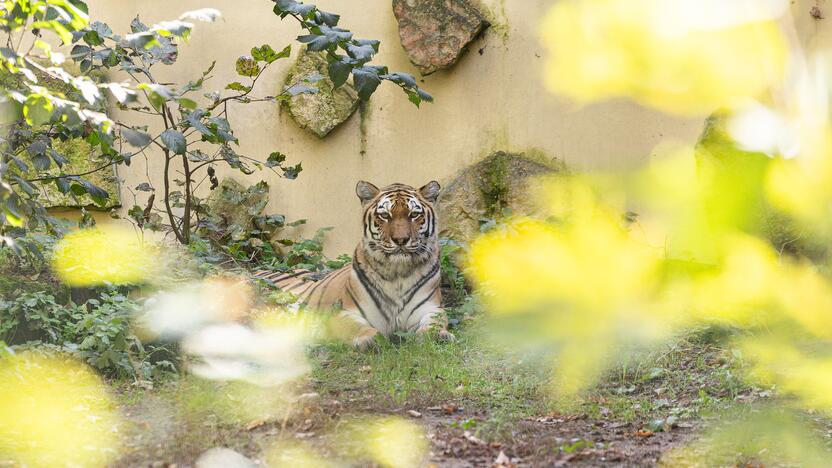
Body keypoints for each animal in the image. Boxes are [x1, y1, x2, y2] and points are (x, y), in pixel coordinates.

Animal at [254, 181, 452, 350]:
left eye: (414, 215)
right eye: (385, 216)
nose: (401, 240)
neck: (398, 273)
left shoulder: (431, 308)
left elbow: (435, 323)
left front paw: (437, 336)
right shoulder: (343, 313)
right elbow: (357, 328)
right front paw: (370, 340)